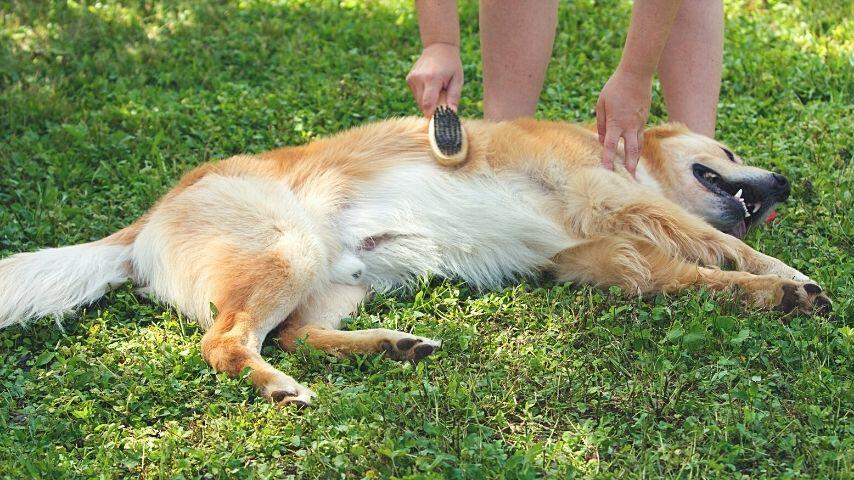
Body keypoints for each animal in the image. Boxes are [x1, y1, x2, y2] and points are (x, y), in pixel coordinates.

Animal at [0, 118, 832, 404]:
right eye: (728, 150)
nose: (788, 183)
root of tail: (142, 224)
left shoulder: (611, 255)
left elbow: (700, 275)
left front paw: (772, 296)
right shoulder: (622, 206)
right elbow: (731, 247)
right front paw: (791, 280)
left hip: (342, 280)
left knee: (296, 333)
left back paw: (394, 348)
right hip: (288, 249)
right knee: (226, 343)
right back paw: (278, 388)